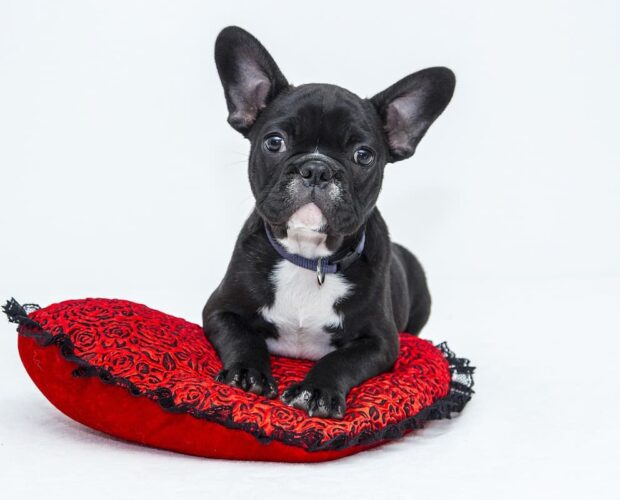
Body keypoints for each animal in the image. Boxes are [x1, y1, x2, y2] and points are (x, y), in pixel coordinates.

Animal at [203, 26, 456, 418]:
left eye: (363, 155)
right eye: (274, 142)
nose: (317, 168)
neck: (309, 257)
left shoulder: (380, 342)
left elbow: (340, 361)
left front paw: (317, 391)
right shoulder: (219, 310)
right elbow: (241, 337)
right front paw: (247, 372)